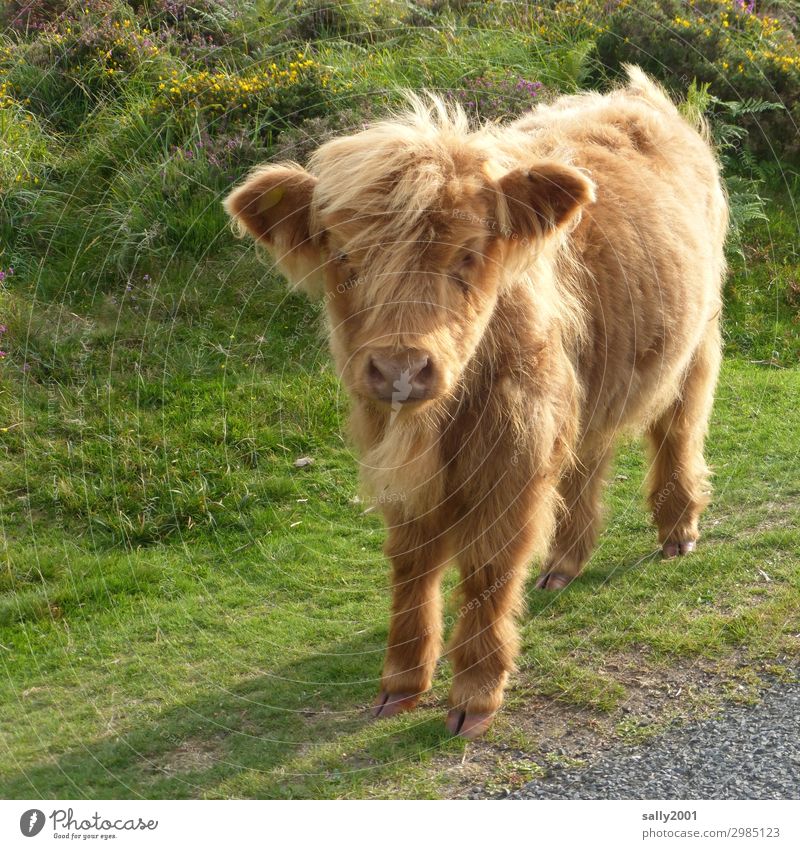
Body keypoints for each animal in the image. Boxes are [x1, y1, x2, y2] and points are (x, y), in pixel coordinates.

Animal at [222, 69, 728, 740]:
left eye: (467, 254)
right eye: (345, 258)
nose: (401, 368)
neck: (433, 424)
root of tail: (635, 94)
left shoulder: (512, 455)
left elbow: (489, 568)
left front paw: (475, 695)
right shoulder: (402, 468)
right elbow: (411, 566)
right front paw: (400, 684)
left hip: (697, 338)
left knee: (678, 429)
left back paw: (677, 530)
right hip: (588, 376)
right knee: (589, 456)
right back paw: (566, 562)